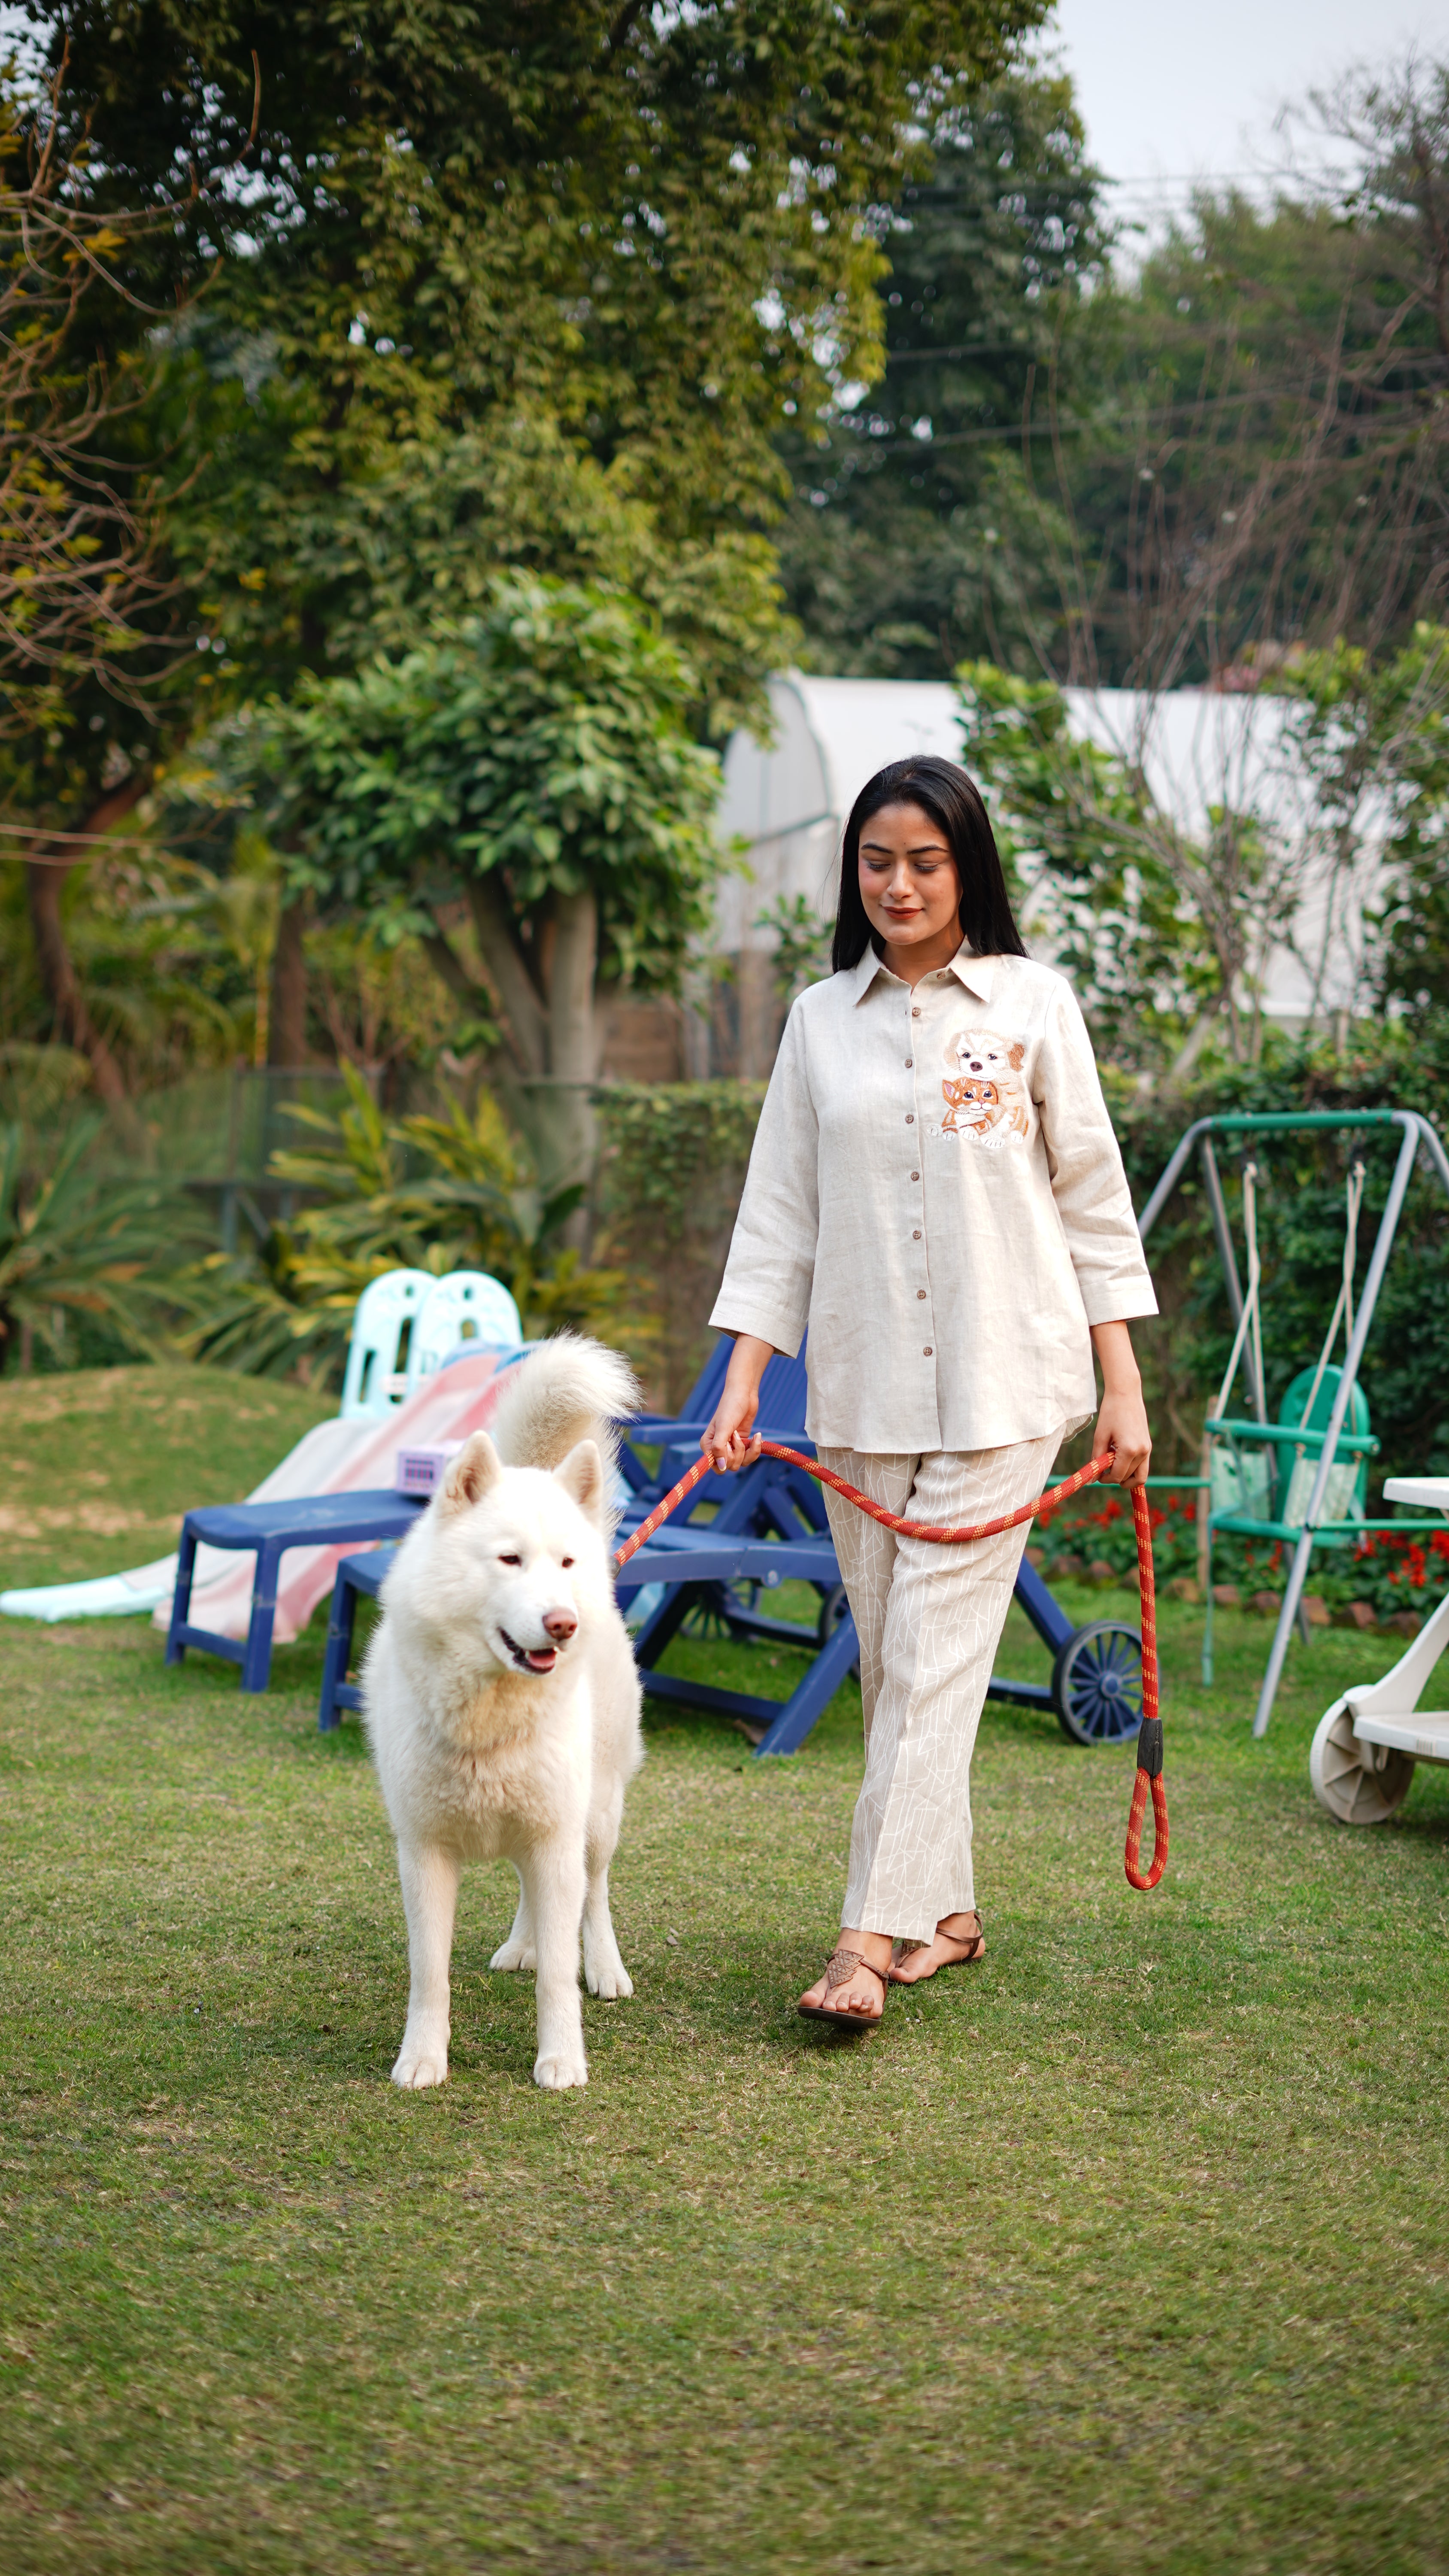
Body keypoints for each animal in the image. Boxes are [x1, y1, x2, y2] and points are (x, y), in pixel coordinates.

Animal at [365, 1340, 649, 2081]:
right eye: (511, 1560)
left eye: (565, 1562)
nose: (562, 1624)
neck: (487, 1721)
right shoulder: (425, 1855)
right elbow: (429, 1974)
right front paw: (422, 2060)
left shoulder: (556, 1836)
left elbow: (558, 1973)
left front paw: (561, 2060)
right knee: (536, 1893)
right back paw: (523, 1944)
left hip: (595, 1818)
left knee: (593, 1893)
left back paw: (603, 1966)